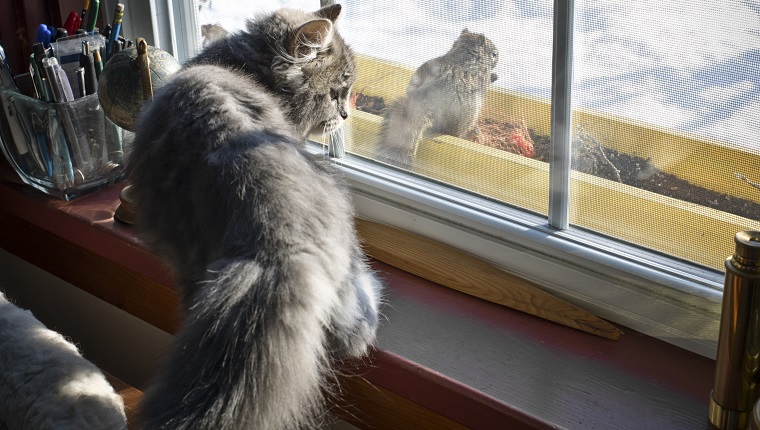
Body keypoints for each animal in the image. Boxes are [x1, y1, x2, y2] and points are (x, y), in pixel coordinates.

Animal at [376, 28, 496, 165]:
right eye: (494, 54)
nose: (497, 58)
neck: (463, 54)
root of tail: (428, 100)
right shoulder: (482, 79)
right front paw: (493, 76)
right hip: (468, 112)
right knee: (460, 130)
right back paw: (472, 132)